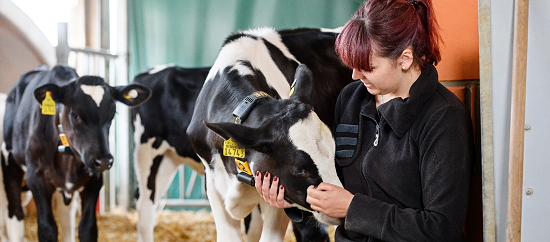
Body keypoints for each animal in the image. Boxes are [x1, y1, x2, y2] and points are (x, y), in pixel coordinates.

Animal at [1, 65, 151, 241]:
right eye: (75, 115)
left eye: (112, 113)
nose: (104, 161)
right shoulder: (36, 178)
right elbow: (47, 228)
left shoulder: (94, 180)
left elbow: (87, 228)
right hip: (10, 165)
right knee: (15, 215)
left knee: (66, 219)